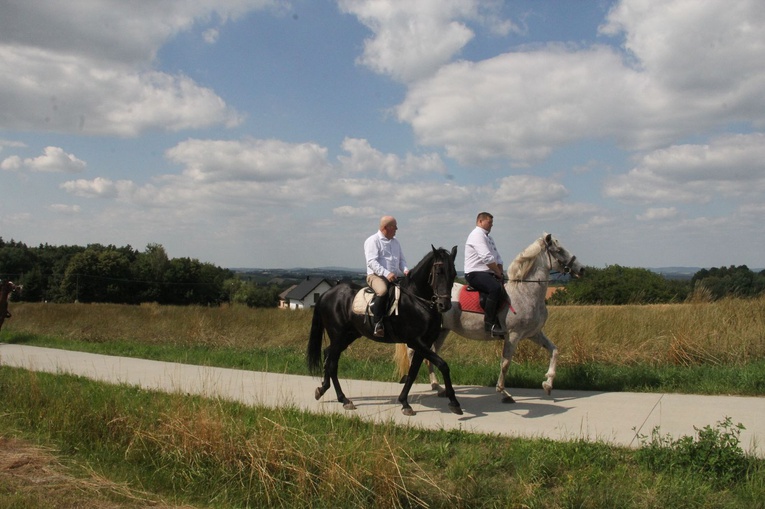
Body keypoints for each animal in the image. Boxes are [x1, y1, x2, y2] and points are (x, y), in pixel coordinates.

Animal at [306, 244, 460, 414]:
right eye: (439, 272)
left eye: (453, 273)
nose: (444, 305)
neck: (418, 301)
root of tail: (326, 294)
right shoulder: (416, 342)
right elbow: (443, 365)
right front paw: (454, 402)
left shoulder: (424, 343)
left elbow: (413, 372)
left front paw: (404, 402)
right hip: (338, 335)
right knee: (332, 363)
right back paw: (344, 399)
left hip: (348, 336)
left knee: (328, 355)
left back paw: (323, 389)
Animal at [396, 232, 580, 402]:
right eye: (559, 250)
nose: (581, 269)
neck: (525, 293)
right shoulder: (513, 335)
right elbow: (505, 363)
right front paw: (504, 392)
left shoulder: (534, 333)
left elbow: (554, 350)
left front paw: (548, 384)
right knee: (416, 353)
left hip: (442, 331)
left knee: (429, 354)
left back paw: (437, 387)